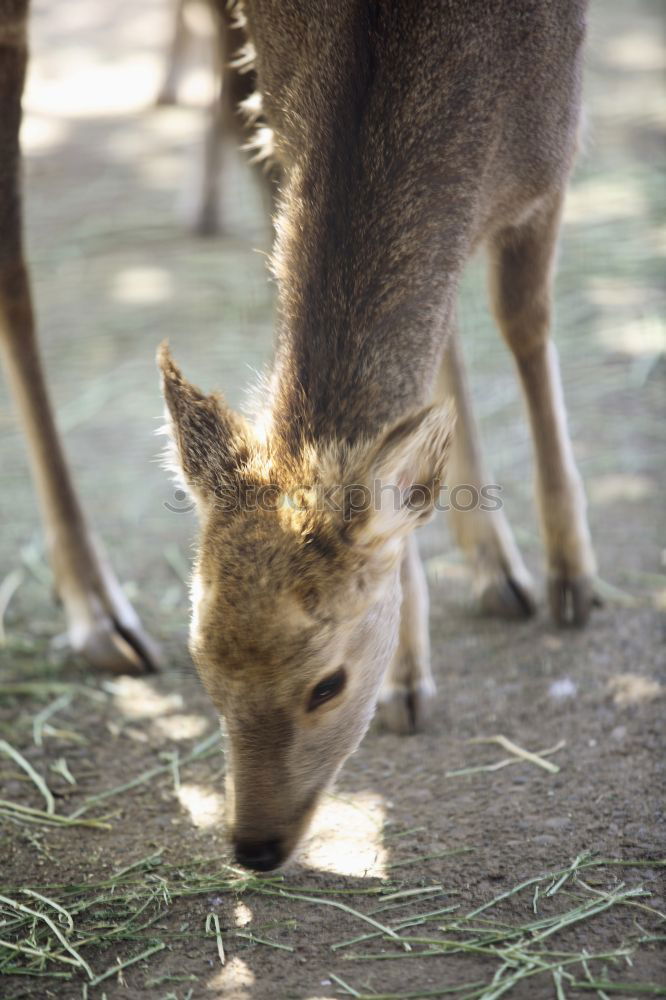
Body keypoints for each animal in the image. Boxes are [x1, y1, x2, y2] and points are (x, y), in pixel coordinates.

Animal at [1, 0, 596, 872]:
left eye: (328, 684)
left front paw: (567, 578)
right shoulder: (278, 103)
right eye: (204, 672)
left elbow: (521, 320)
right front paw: (412, 672)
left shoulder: (553, 152)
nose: (252, 844)